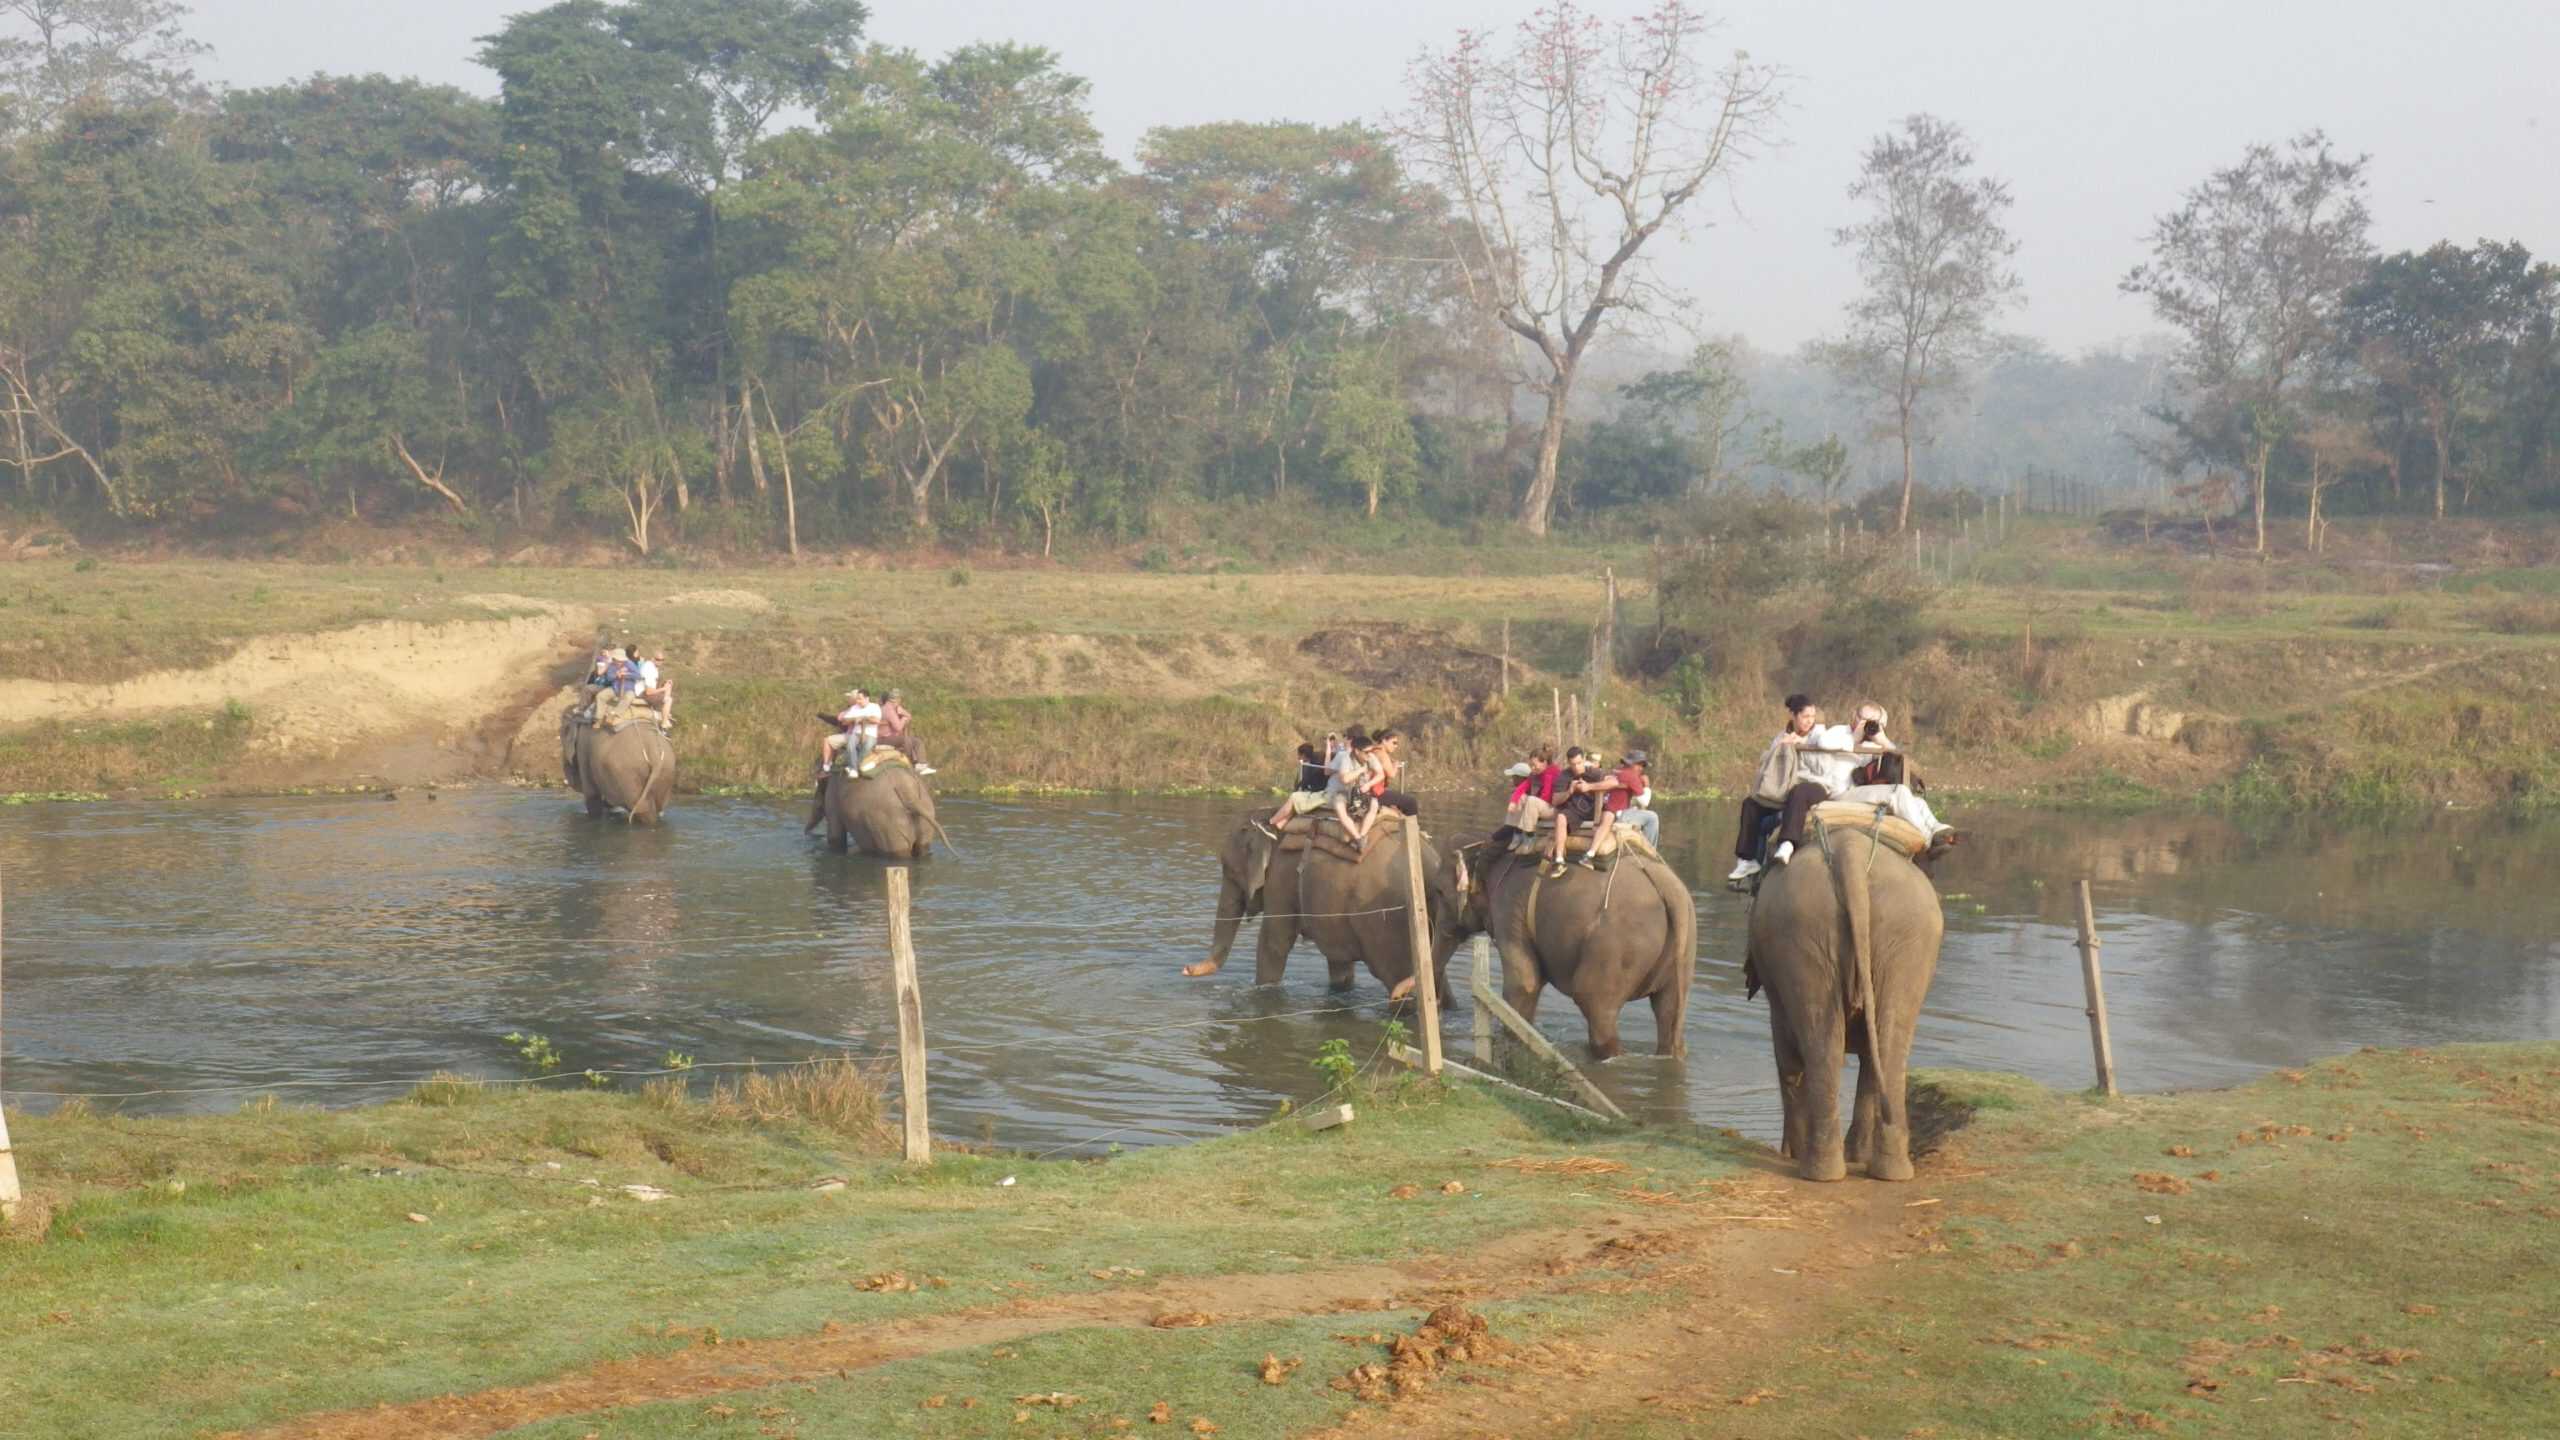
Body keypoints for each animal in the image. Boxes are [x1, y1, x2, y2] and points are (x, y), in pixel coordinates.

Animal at [1182, 814, 1462, 1002]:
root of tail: (1430, 867)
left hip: (1391, 925)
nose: (1186, 969)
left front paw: (1263, 989)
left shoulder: (1281, 880)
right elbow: (1339, 963)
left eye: (1228, 870)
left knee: (1398, 979)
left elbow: (1274, 943)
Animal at [1446, 845, 1697, 1061]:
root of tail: (1669, 889)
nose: (1448, 1008)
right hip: (1682, 954)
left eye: (1440, 893)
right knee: (1668, 1013)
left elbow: (1524, 983)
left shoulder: (1508, 908)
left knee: (1594, 1005)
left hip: (1614, 947)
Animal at [1743, 825, 1945, 1183]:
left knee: (1822, 1046)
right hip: (1898, 941)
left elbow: (1789, 1057)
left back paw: (1817, 1168)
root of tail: (1852, 851)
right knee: (1884, 1047)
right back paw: (1885, 1171)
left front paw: (1792, 1154)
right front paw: (1855, 1157)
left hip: (1807, 937)